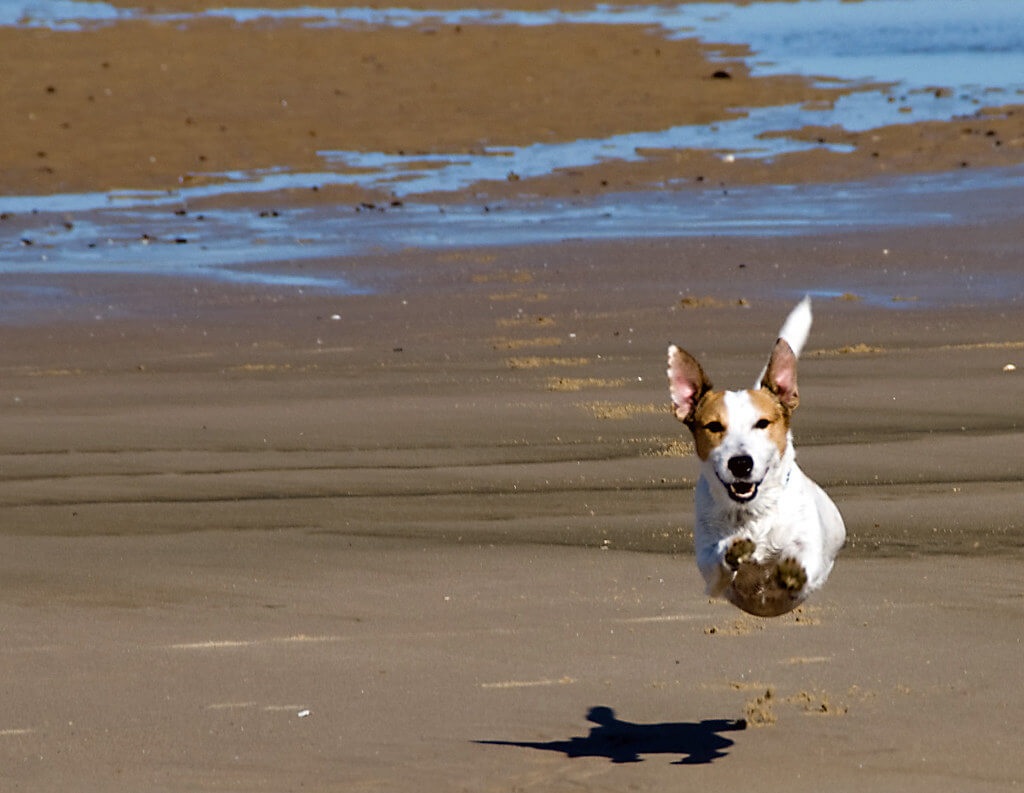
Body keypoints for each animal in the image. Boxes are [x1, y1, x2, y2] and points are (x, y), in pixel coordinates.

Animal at [667, 299, 843, 614]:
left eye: (762, 423)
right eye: (714, 426)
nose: (740, 463)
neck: (753, 513)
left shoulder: (809, 555)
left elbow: (800, 562)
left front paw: (790, 572)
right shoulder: (710, 574)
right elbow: (718, 562)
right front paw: (733, 551)